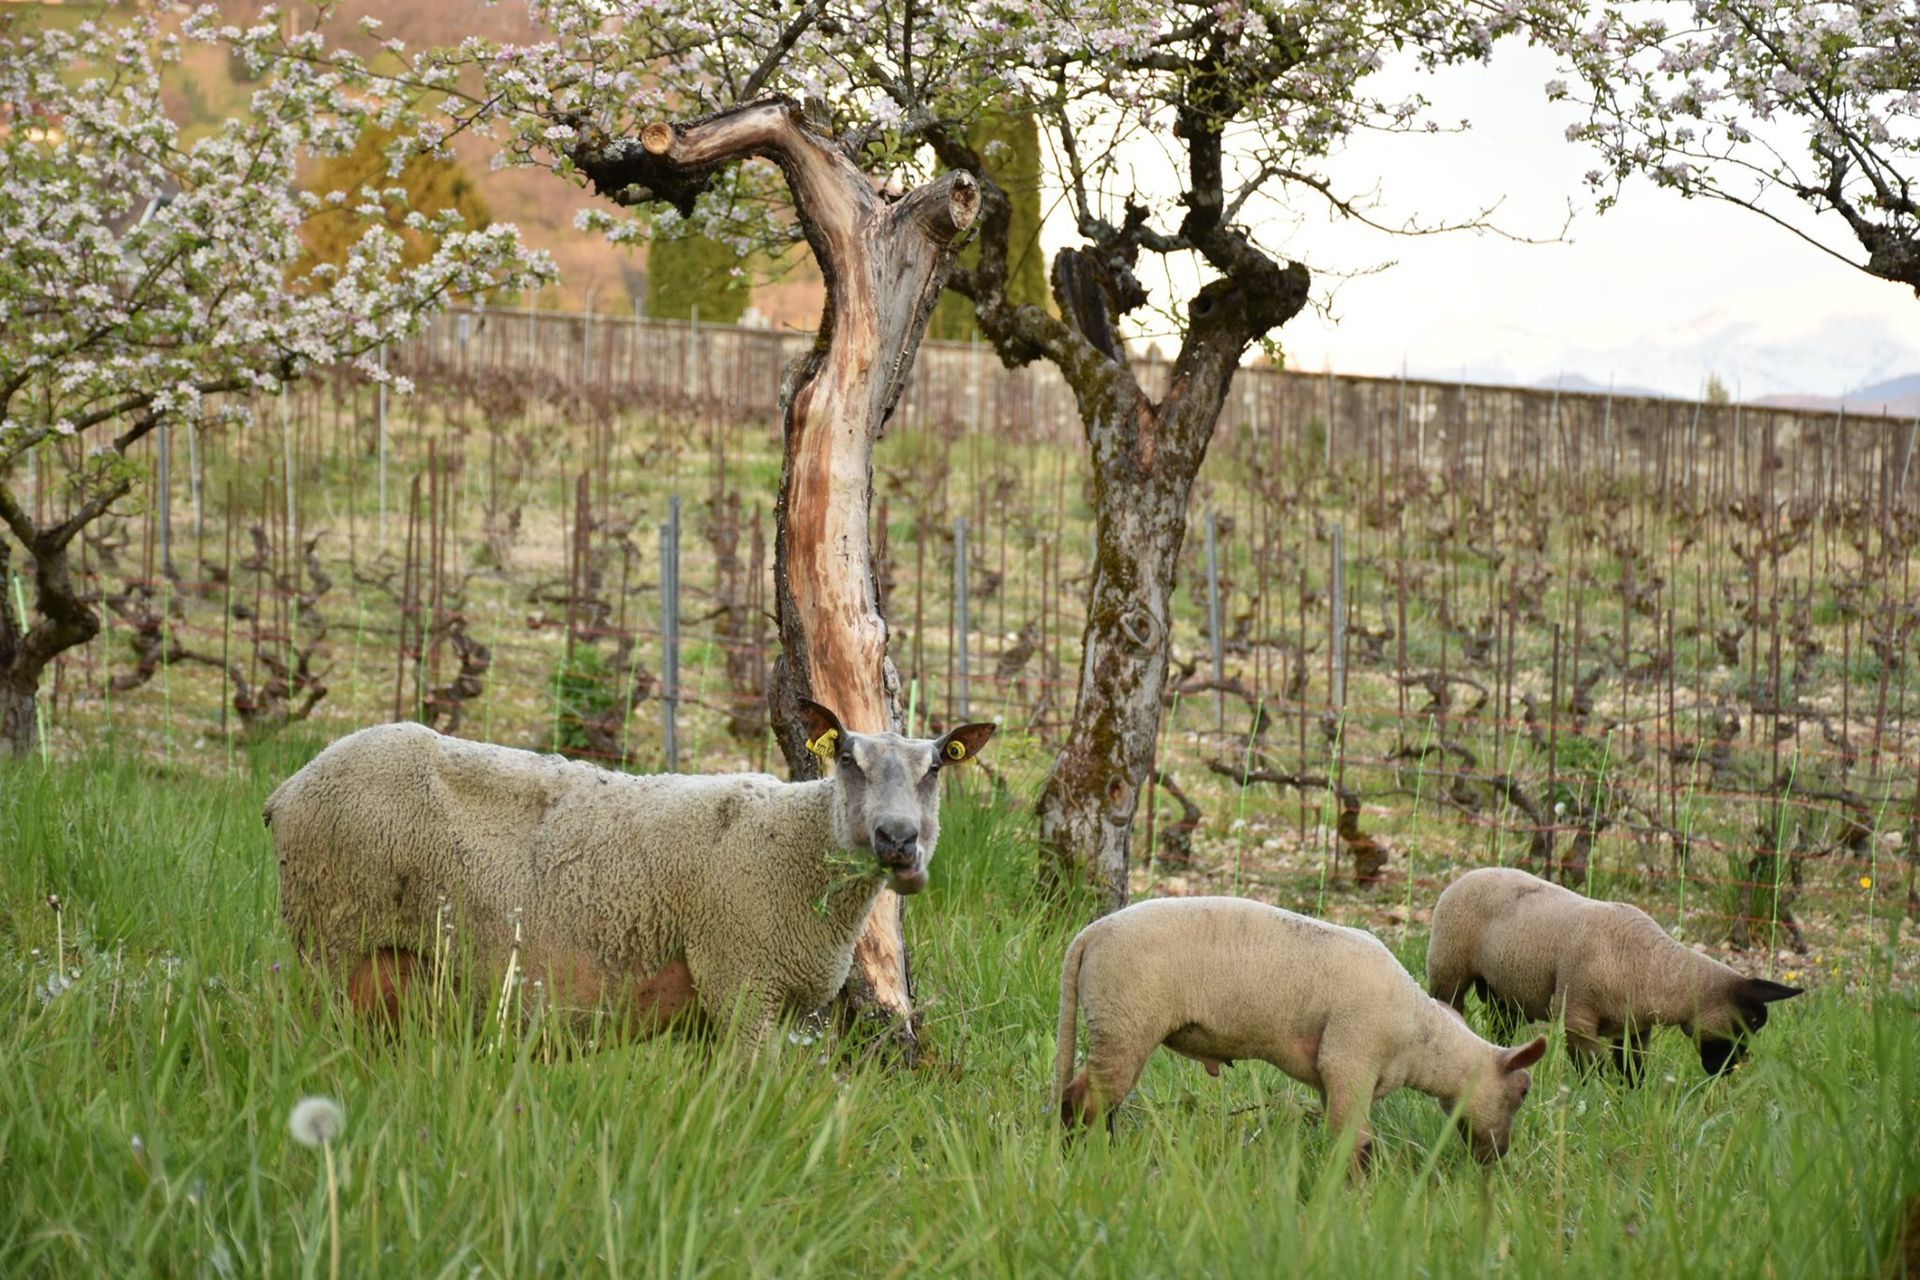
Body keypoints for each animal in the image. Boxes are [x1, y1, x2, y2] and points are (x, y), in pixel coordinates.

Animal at [264, 700, 995, 1055]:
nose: (897, 839)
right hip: (329, 938)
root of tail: (289, 788)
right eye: (845, 757)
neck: (798, 840)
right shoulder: (740, 980)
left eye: (937, 766)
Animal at [1053, 897, 1547, 1171]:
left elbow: (1342, 1137)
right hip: (1125, 1021)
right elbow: (1355, 1144)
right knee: (1083, 1101)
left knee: (1093, 1099)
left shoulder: (1336, 1078)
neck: (1422, 1039)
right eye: (1523, 1090)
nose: (1498, 1157)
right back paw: (1082, 1156)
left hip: (1116, 1024)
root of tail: (1090, 934)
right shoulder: (1351, 1060)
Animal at [1426, 867, 1802, 1080]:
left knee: (1500, 1026)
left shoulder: (1633, 1029)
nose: (1730, 1071)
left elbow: (1633, 1070)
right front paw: (1593, 1097)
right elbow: (1592, 1069)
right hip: (1448, 968)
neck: (1653, 966)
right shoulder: (1578, 1019)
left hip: (1505, 990)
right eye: (1750, 1023)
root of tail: (1467, 874)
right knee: (1448, 1004)